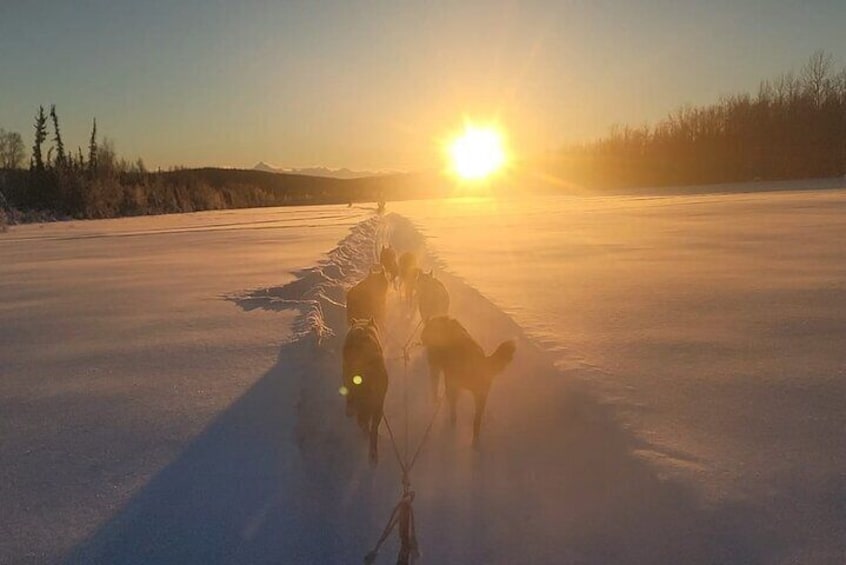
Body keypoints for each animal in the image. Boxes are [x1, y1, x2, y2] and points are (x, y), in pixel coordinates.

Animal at [422, 318, 516, 446]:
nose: (422, 338)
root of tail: (480, 361)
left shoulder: (437, 369)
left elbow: (435, 388)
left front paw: (436, 401)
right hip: (480, 396)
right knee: (476, 421)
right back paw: (475, 442)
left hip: (457, 384)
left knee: (454, 411)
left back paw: (452, 422)